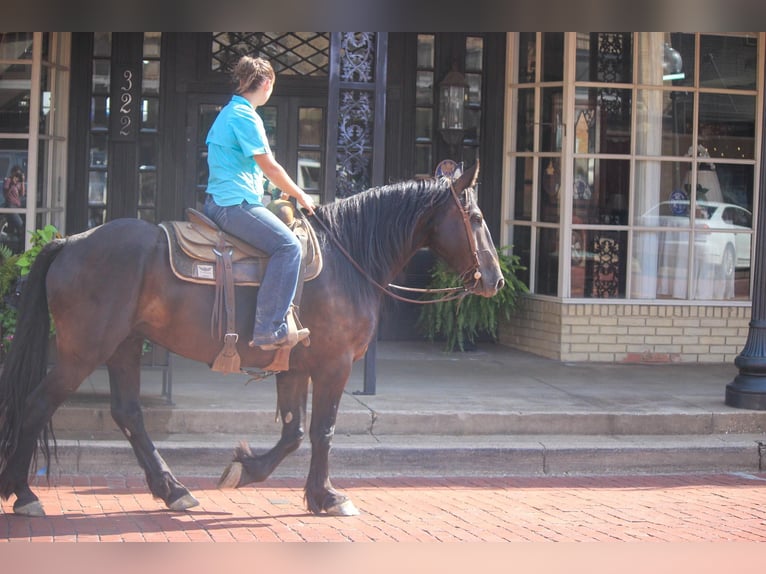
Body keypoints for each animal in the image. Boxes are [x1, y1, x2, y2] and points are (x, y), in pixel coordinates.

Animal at [0, 162, 504, 516]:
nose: (496, 279)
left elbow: (294, 433)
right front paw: (328, 497)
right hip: (83, 351)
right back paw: (23, 492)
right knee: (37, 404)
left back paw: (173, 490)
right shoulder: (335, 364)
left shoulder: (295, 366)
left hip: (123, 346)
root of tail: (72, 241)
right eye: (477, 216)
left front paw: (247, 470)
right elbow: (322, 430)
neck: (348, 259)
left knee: (128, 414)